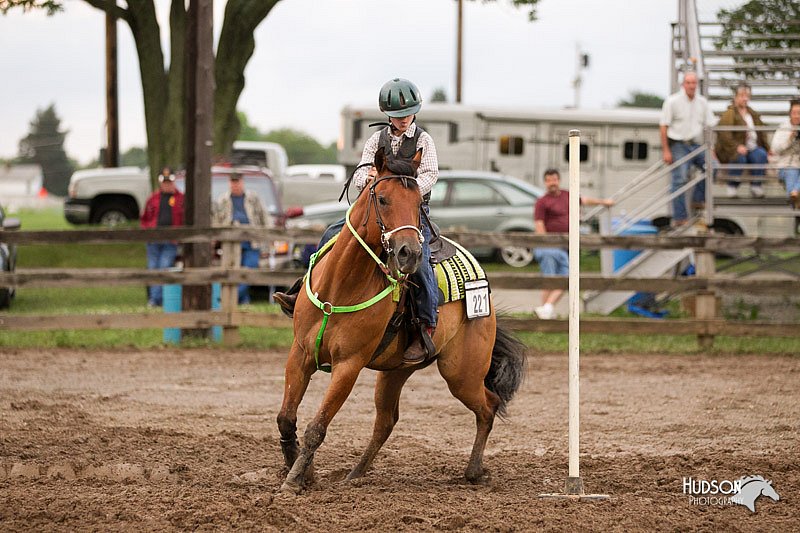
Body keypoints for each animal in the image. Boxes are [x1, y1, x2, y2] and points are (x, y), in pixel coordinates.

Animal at [278, 147, 528, 494]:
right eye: (382, 198)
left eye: (418, 202)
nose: (409, 253)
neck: (341, 286)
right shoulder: (300, 355)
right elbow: (286, 418)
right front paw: (300, 468)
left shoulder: (348, 366)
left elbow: (318, 426)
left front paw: (295, 479)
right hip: (395, 371)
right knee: (386, 421)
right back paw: (355, 474)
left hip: (461, 373)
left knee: (488, 405)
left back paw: (474, 471)